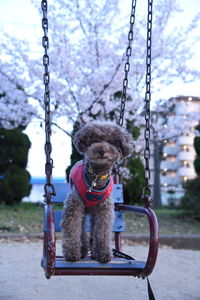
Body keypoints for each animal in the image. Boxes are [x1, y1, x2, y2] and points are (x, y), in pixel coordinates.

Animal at [61, 120, 133, 264]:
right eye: (95, 140)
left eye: (111, 142)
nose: (102, 150)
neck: (96, 177)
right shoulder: (74, 206)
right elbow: (72, 227)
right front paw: (71, 253)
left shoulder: (104, 209)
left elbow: (102, 231)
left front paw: (103, 253)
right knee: (82, 228)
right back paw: (83, 250)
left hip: (95, 211)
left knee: (94, 228)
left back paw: (94, 252)